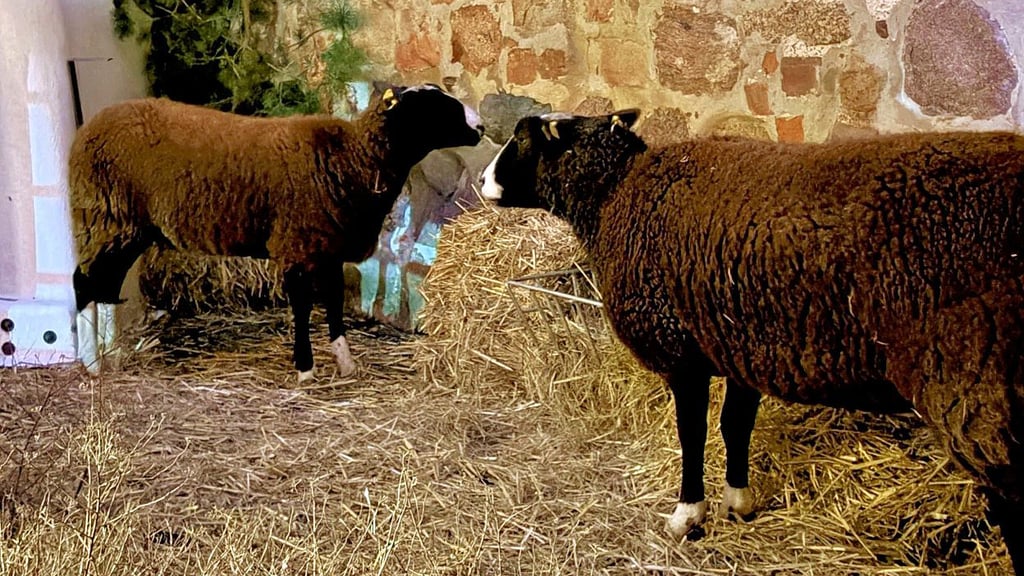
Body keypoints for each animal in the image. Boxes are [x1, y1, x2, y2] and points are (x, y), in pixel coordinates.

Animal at [71, 83, 484, 380]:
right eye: (434, 108)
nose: (480, 127)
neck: (354, 159)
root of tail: (87, 131)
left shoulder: (327, 247)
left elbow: (334, 305)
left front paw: (346, 363)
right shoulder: (297, 245)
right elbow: (302, 308)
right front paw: (306, 370)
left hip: (124, 225)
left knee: (104, 286)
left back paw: (113, 354)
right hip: (107, 217)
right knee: (84, 283)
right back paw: (92, 364)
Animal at [479, 109, 1024, 573]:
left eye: (521, 139)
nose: (481, 182)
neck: (616, 195)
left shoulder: (682, 349)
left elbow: (692, 433)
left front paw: (688, 514)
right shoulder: (743, 344)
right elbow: (735, 426)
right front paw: (738, 502)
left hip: (976, 384)